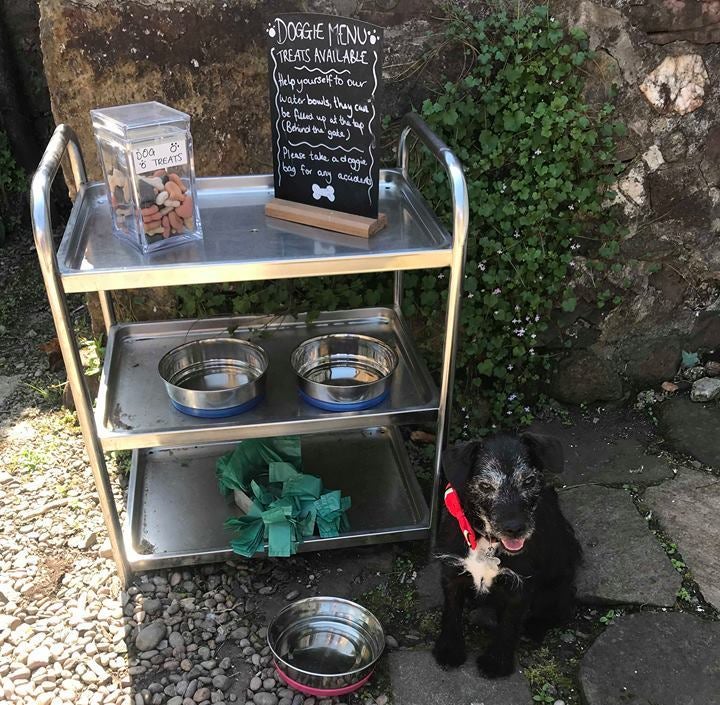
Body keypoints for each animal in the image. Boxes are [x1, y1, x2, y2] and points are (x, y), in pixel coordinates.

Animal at [434, 428, 580, 676]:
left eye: (529, 481)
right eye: (485, 486)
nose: (515, 528)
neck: (488, 541)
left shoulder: (520, 586)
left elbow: (509, 624)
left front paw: (497, 662)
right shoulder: (452, 572)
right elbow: (451, 612)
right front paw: (449, 649)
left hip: (557, 589)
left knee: (557, 612)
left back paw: (534, 628)